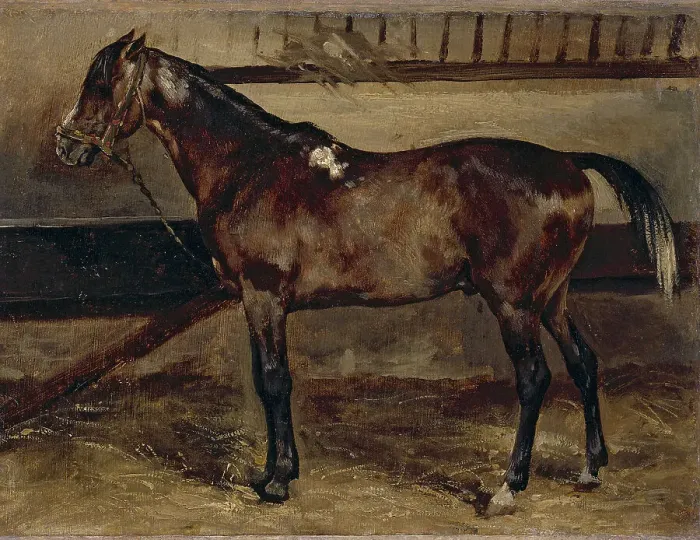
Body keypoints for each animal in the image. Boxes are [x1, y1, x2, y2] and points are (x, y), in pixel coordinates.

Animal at [55, 30, 678, 516]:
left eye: (101, 84)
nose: (65, 145)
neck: (249, 165)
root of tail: (569, 162)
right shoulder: (259, 302)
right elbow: (267, 380)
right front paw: (273, 472)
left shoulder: (263, 297)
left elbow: (273, 381)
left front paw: (277, 482)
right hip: (552, 298)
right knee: (583, 364)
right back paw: (591, 468)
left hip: (514, 303)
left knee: (534, 378)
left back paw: (507, 488)